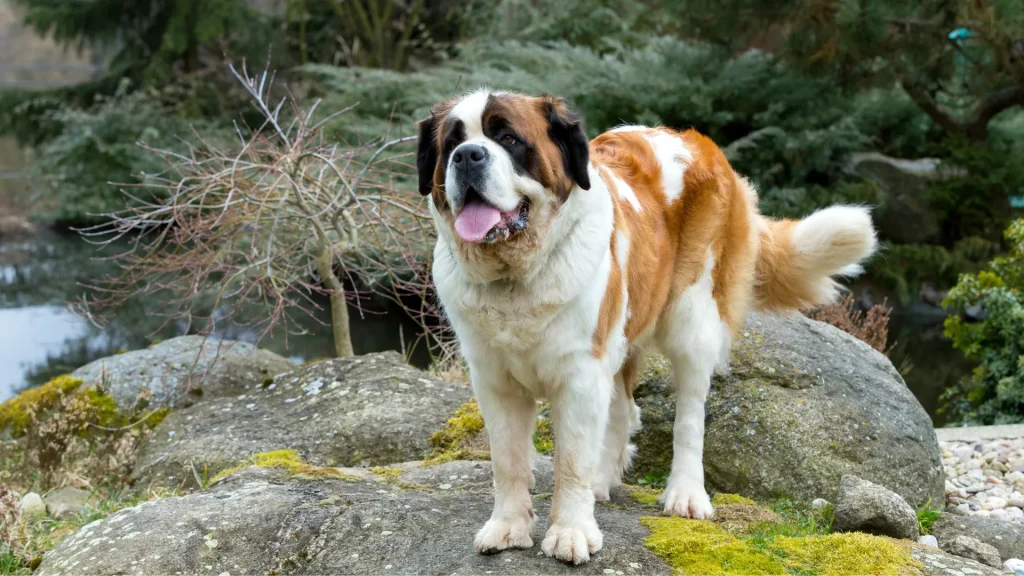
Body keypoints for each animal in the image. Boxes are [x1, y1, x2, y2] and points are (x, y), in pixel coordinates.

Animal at [411, 90, 876, 565]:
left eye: (508, 138)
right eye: (452, 143)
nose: (468, 156)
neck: (515, 277)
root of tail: (694, 139)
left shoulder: (580, 374)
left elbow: (571, 461)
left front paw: (571, 531)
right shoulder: (495, 380)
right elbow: (508, 461)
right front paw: (508, 527)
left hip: (692, 320)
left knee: (689, 416)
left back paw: (686, 493)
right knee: (622, 410)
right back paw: (603, 481)